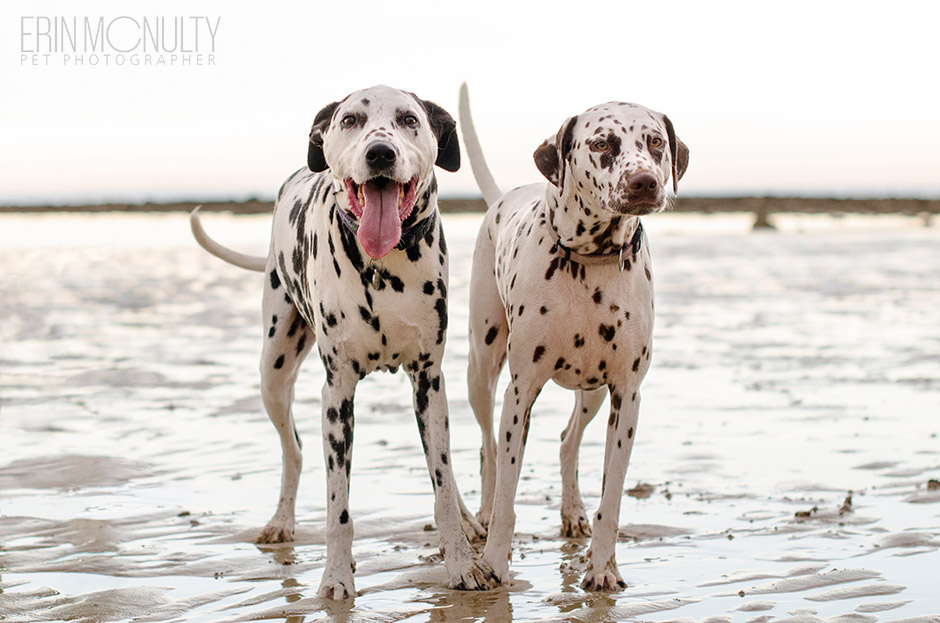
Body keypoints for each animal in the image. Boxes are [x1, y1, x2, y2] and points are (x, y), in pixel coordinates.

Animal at [190, 85, 500, 604]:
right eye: (351, 119)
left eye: (409, 119)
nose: (380, 153)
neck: (382, 265)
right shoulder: (337, 395)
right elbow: (338, 506)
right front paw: (336, 575)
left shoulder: (429, 382)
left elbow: (441, 482)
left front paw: (460, 561)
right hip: (273, 370)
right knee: (293, 450)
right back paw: (281, 520)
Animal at [458, 85, 688, 592]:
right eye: (602, 144)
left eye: (655, 142)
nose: (645, 182)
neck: (592, 261)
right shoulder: (520, 393)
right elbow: (507, 495)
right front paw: (495, 562)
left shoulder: (626, 395)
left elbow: (612, 497)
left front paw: (601, 566)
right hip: (481, 370)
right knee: (488, 450)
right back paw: (481, 514)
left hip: (593, 394)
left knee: (567, 441)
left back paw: (572, 511)